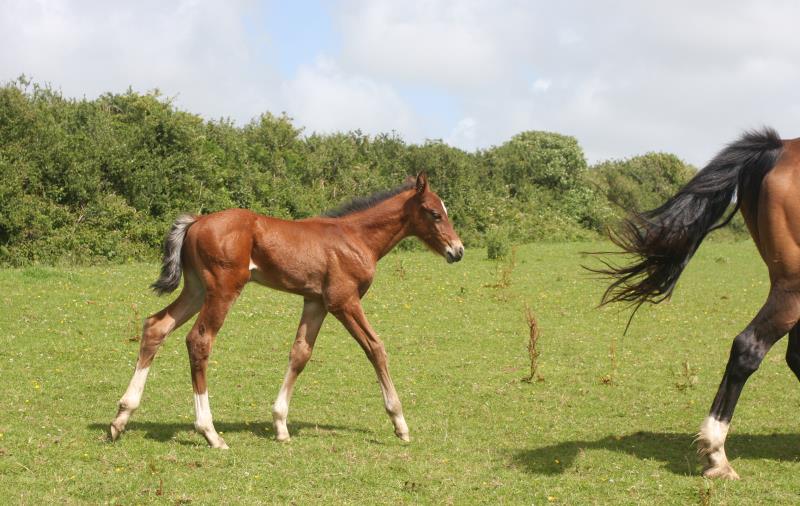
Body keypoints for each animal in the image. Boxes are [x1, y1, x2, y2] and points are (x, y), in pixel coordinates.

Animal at [109, 173, 466, 446]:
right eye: (435, 213)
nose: (458, 251)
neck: (356, 238)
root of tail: (196, 221)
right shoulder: (344, 301)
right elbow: (375, 347)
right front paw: (400, 422)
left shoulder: (316, 302)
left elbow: (300, 353)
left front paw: (280, 424)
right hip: (222, 290)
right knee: (199, 340)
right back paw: (210, 432)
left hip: (196, 289)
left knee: (156, 326)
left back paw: (121, 418)